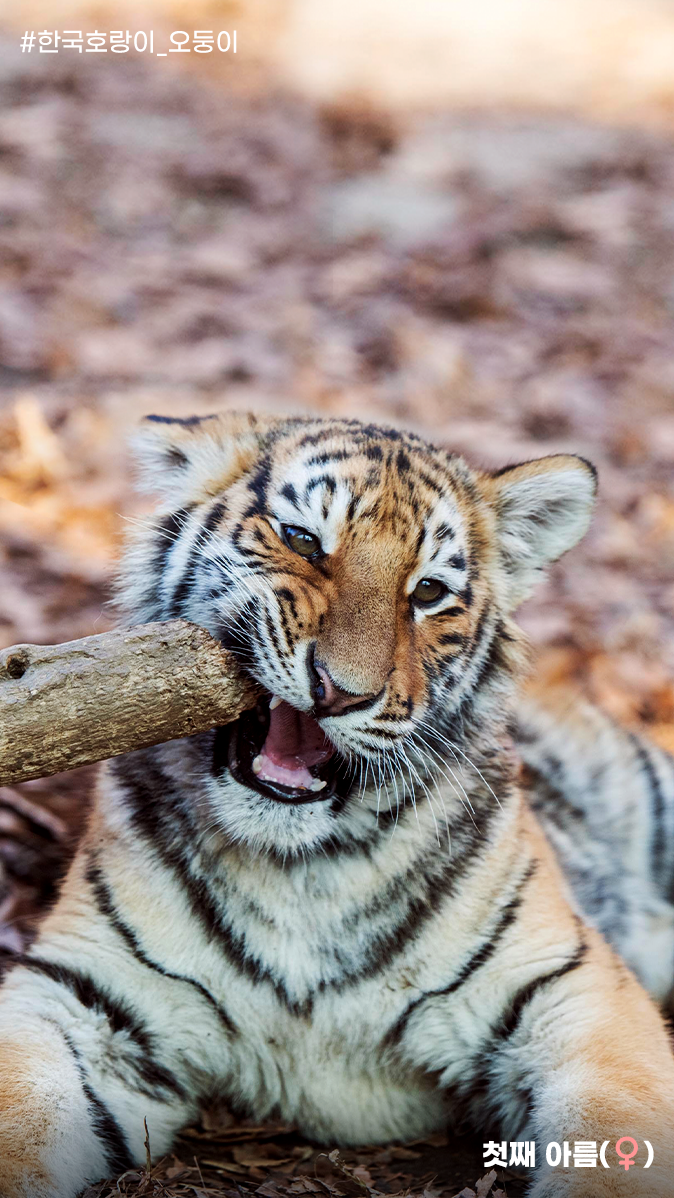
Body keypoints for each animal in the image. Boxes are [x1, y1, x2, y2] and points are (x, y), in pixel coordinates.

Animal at [1, 410, 674, 1198]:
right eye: (301, 540)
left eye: (429, 592)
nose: (339, 692)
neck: (301, 869)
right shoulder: (80, 993)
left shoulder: (572, 991)